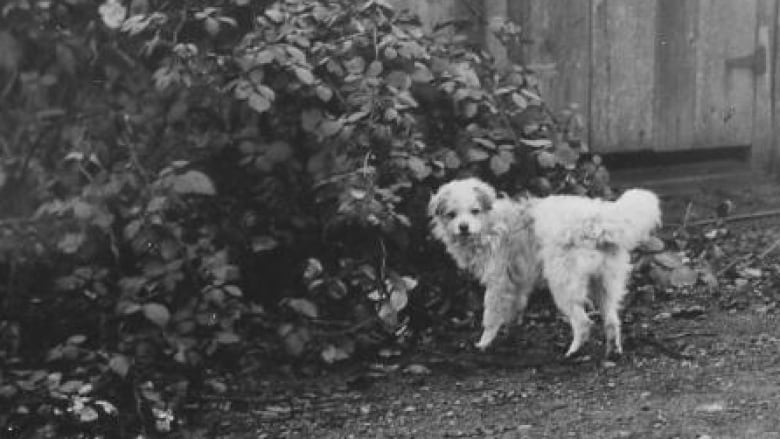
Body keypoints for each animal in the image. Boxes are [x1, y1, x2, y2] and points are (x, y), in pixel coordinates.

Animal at [430, 178, 660, 358]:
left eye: (474, 211)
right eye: (452, 214)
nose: (463, 227)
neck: (491, 223)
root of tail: (595, 220)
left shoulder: (498, 282)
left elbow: (491, 315)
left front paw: (484, 343)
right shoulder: (517, 283)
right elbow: (514, 310)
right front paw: (510, 335)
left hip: (563, 284)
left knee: (583, 323)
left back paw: (572, 352)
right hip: (603, 284)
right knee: (612, 320)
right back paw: (613, 351)